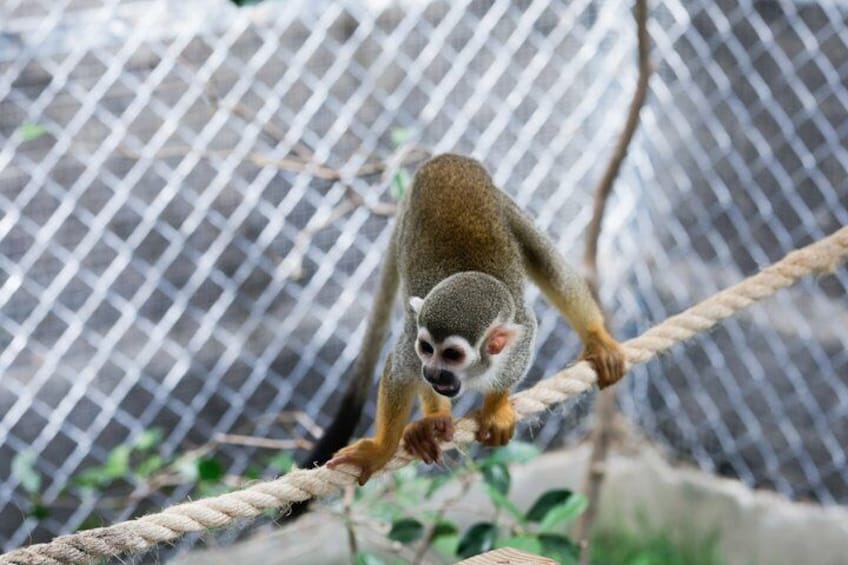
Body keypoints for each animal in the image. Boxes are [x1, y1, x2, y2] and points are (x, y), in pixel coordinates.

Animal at [304, 153, 625, 486]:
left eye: (452, 355)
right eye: (427, 349)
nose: (432, 372)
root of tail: (448, 160)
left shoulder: (519, 341)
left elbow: (513, 366)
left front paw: (495, 408)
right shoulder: (413, 347)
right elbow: (399, 371)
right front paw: (381, 449)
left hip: (503, 205)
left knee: (548, 264)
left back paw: (596, 337)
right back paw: (433, 419)